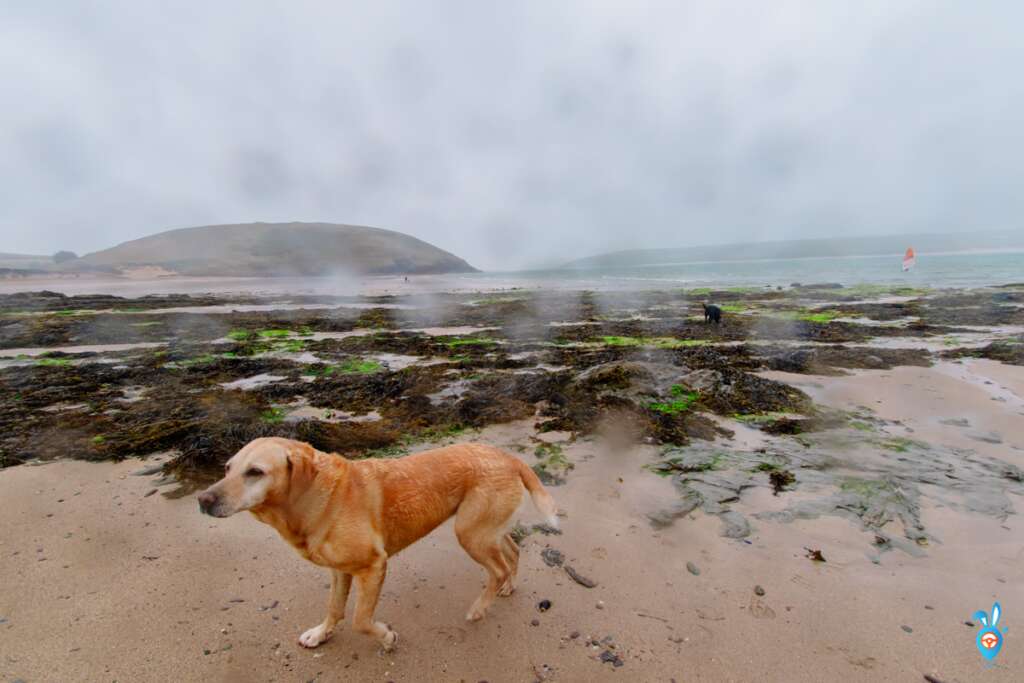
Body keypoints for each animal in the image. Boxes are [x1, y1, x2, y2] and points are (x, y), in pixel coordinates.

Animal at [195, 438, 557, 651]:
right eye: (227, 468)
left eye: (255, 472)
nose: (202, 499)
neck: (316, 497)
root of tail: (508, 457)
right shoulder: (339, 571)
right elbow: (334, 608)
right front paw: (321, 634)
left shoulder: (374, 566)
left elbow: (360, 620)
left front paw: (386, 637)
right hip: (485, 530)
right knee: (512, 552)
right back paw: (508, 587)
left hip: (470, 534)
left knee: (497, 569)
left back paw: (481, 607)